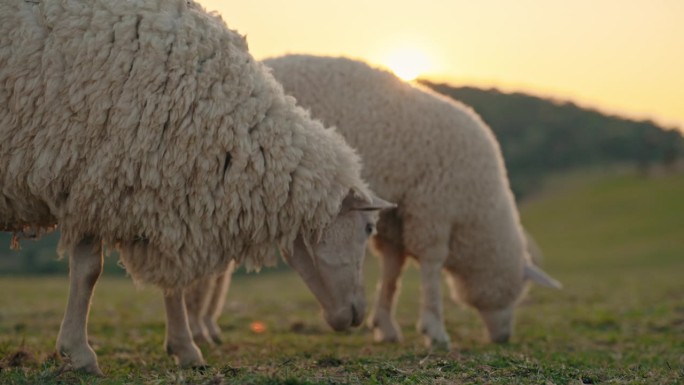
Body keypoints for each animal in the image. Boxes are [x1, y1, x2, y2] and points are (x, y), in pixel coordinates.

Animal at [0, 2, 396, 376]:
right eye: (367, 228)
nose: (357, 314)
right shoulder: (95, 182)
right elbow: (89, 274)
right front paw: (81, 354)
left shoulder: (135, 191)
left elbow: (165, 281)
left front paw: (183, 347)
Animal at [184, 54, 560, 352]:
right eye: (518, 293)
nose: (504, 338)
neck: (479, 214)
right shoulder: (433, 206)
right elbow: (431, 267)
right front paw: (434, 330)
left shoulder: (397, 217)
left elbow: (393, 271)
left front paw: (385, 325)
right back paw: (199, 326)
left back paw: (204, 325)